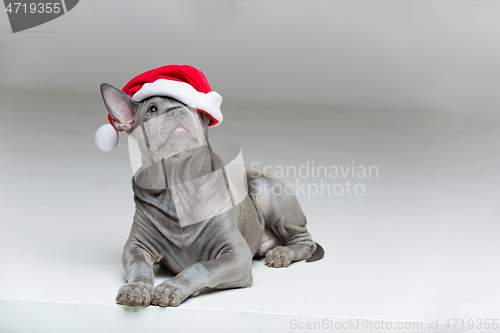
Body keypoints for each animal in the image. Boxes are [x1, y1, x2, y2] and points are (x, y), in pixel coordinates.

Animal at [100, 65, 324, 306]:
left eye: (190, 104)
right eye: (151, 109)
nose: (177, 111)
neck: (179, 186)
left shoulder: (237, 256)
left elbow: (201, 267)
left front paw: (172, 287)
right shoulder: (136, 247)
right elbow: (140, 266)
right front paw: (136, 288)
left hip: (266, 189)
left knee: (305, 241)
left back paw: (283, 253)